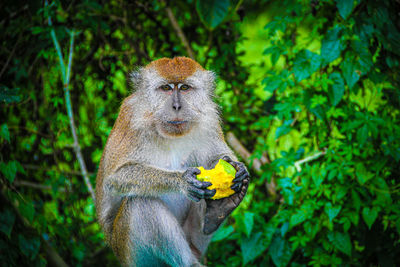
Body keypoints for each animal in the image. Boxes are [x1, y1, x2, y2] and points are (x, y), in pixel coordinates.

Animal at [95, 57, 248, 267]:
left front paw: (238, 168)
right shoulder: (130, 118)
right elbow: (115, 179)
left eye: (184, 88)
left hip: (193, 242)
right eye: (166, 88)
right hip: (131, 253)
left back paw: (216, 213)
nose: (176, 106)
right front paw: (182, 181)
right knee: (141, 202)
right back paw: (190, 263)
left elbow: (216, 155)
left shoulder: (209, 118)